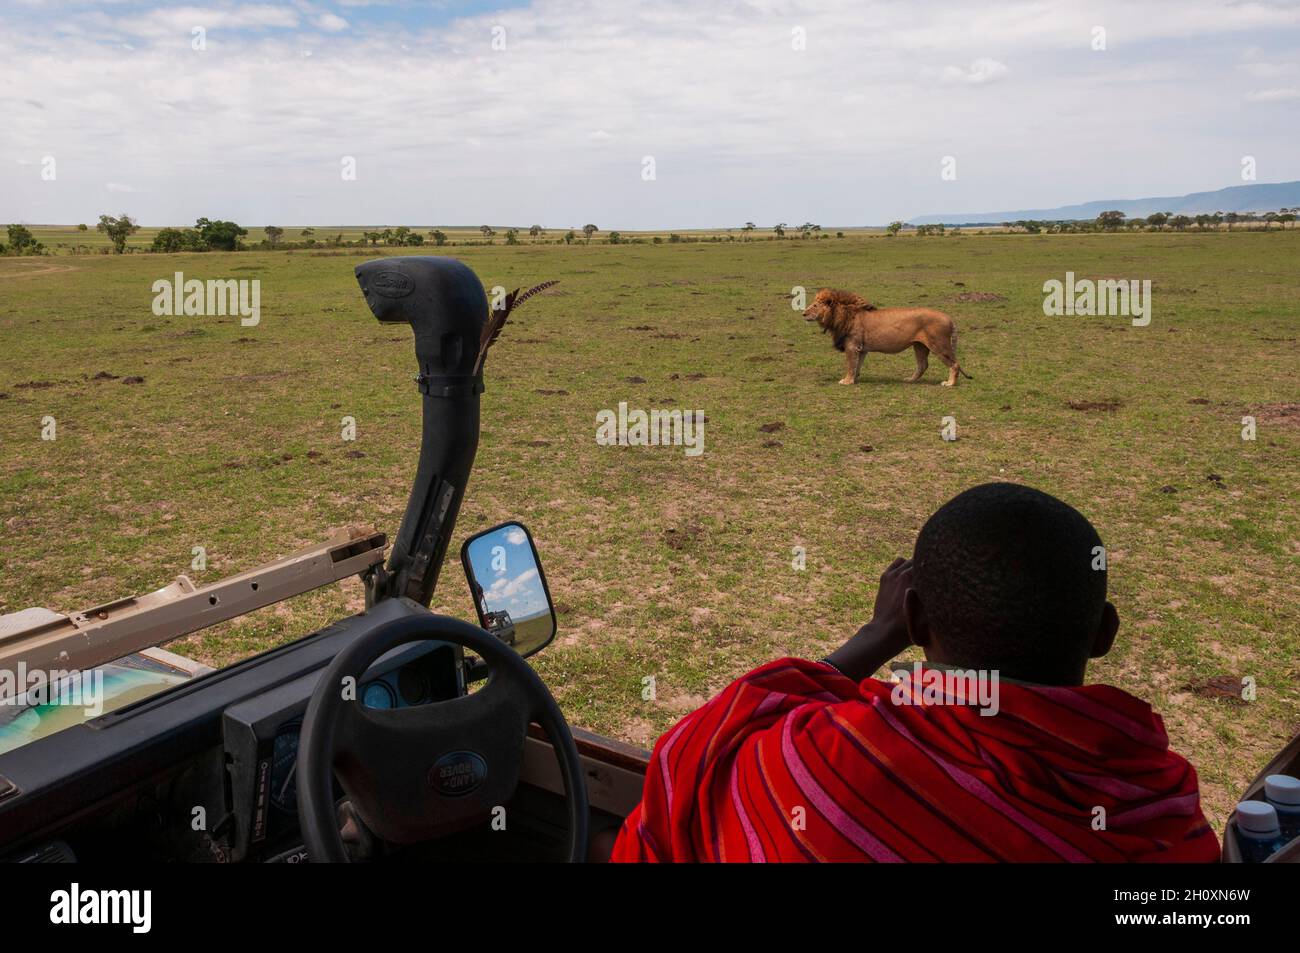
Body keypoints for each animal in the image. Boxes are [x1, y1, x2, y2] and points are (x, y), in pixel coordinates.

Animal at [800, 286, 977, 387]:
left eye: (814, 305)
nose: (803, 314)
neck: (843, 315)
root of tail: (949, 318)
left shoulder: (852, 346)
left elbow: (850, 365)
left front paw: (847, 381)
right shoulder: (861, 349)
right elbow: (857, 365)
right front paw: (855, 379)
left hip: (938, 345)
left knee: (954, 364)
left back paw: (950, 383)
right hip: (919, 345)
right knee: (923, 365)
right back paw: (910, 380)